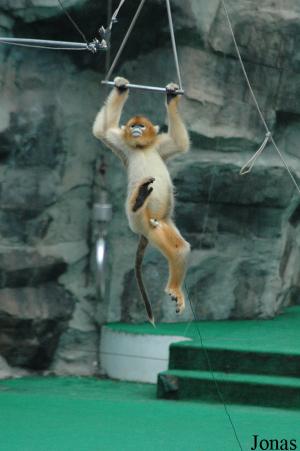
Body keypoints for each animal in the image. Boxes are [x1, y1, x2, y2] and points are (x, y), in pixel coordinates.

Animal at [92, 77, 191, 324]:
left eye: (142, 126)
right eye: (133, 126)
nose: (136, 129)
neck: (142, 146)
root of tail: (149, 227)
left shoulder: (160, 146)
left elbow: (180, 143)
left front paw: (171, 95)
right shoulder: (122, 143)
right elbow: (101, 130)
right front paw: (120, 86)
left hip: (162, 225)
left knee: (181, 250)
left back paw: (175, 290)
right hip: (142, 224)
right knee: (137, 211)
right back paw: (138, 200)